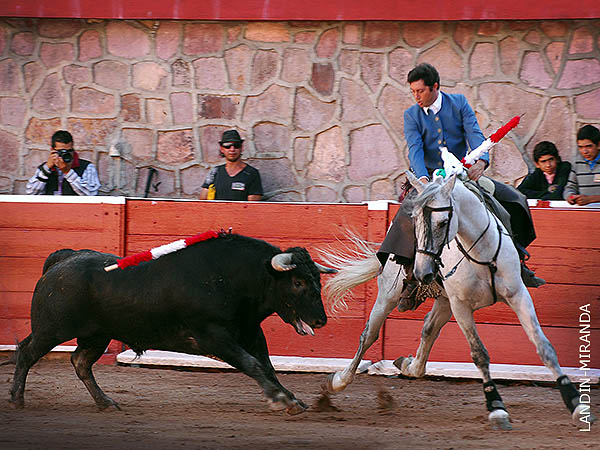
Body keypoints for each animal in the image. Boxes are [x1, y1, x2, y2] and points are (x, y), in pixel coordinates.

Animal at [9, 236, 332, 414]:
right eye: (298, 282)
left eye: (316, 279)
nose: (321, 320)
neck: (234, 279)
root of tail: (64, 259)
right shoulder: (215, 337)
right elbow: (253, 364)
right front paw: (279, 399)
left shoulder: (251, 332)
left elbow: (267, 366)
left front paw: (292, 399)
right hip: (52, 330)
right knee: (26, 352)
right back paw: (16, 398)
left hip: (96, 336)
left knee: (80, 362)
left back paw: (106, 402)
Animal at [322, 171, 592, 428]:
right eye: (414, 222)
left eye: (443, 223)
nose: (422, 273)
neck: (481, 252)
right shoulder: (461, 307)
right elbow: (479, 353)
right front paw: (496, 408)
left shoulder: (518, 295)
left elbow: (544, 346)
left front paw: (575, 403)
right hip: (390, 294)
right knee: (369, 334)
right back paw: (339, 380)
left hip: (443, 301)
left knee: (428, 329)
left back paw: (407, 364)